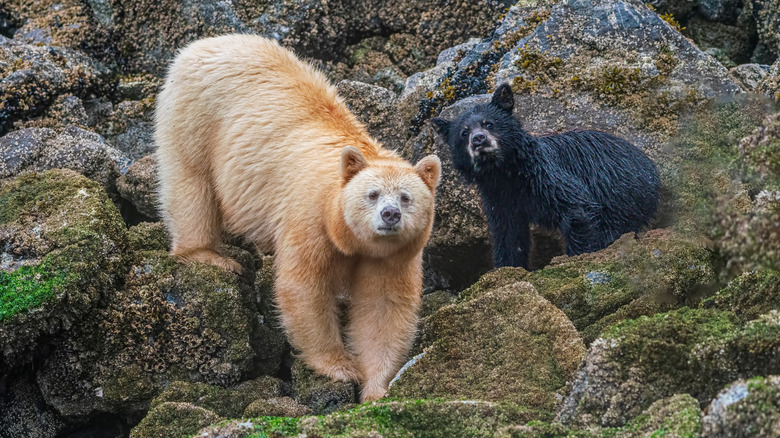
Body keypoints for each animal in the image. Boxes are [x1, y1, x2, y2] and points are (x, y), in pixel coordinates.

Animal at [155, 36, 442, 402]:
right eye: (373, 194)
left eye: (406, 197)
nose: (389, 215)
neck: (344, 230)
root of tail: (207, 43)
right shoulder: (310, 216)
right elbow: (304, 287)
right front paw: (340, 366)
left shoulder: (394, 255)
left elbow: (383, 307)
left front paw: (377, 389)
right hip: (196, 114)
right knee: (191, 183)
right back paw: (207, 254)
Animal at [430, 83, 660, 268]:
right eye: (464, 133)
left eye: (489, 123)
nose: (478, 139)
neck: (506, 173)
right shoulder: (498, 198)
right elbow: (508, 235)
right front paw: (508, 267)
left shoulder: (545, 175)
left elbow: (577, 206)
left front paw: (578, 256)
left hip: (622, 195)